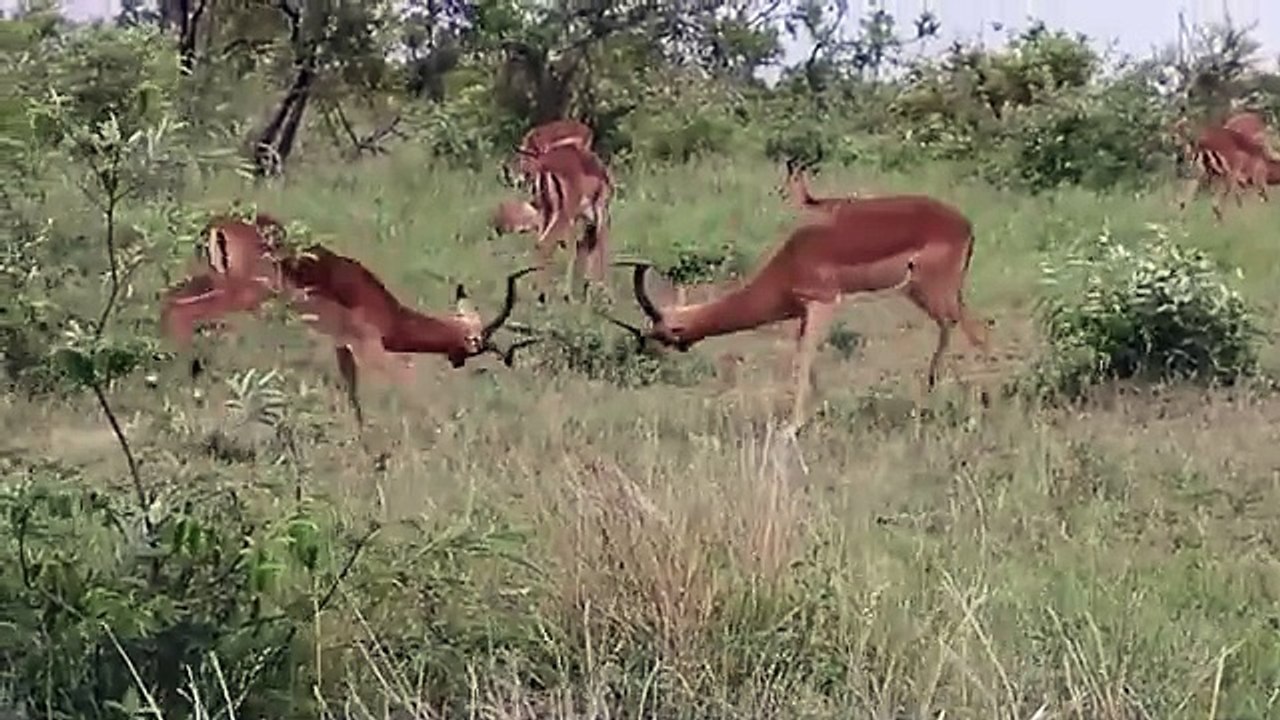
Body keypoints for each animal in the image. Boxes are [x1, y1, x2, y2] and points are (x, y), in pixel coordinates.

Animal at [601, 195, 990, 428]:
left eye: (663, 334)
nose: (645, 354)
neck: (789, 262)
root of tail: (965, 225)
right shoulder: (805, 314)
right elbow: (807, 360)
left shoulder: (823, 304)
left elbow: (802, 359)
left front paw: (792, 427)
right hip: (926, 293)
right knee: (959, 331)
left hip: (935, 291)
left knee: (974, 333)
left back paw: (972, 414)